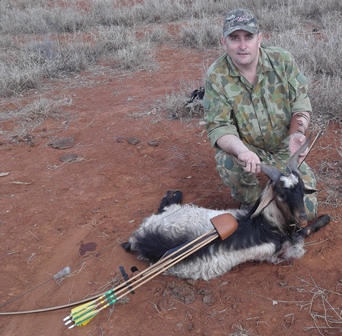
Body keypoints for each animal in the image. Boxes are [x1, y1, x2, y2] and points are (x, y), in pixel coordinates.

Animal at [121, 142, 330, 280]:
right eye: (280, 194)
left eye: (301, 189)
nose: (302, 217)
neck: (265, 223)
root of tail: (140, 240)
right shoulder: (279, 251)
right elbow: (304, 232)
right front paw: (325, 218)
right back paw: (175, 193)